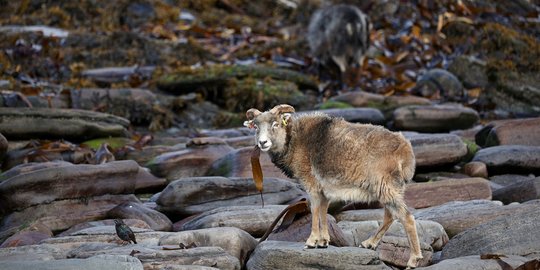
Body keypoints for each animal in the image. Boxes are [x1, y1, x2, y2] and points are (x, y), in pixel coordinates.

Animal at [243, 103, 424, 268]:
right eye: (256, 127)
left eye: (275, 124)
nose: (263, 142)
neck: (293, 141)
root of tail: (406, 150)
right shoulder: (325, 189)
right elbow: (324, 211)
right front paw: (323, 241)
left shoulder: (311, 184)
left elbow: (315, 210)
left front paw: (311, 241)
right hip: (391, 187)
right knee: (390, 215)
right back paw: (369, 243)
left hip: (385, 186)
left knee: (406, 217)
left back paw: (413, 259)